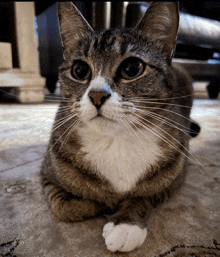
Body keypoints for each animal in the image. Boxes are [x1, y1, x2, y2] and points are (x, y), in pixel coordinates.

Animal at [40, 2, 199, 252]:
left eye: (132, 68)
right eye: (79, 70)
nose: (96, 95)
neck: (115, 141)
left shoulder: (176, 176)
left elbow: (147, 195)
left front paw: (126, 222)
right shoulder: (47, 172)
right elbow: (66, 207)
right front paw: (100, 204)